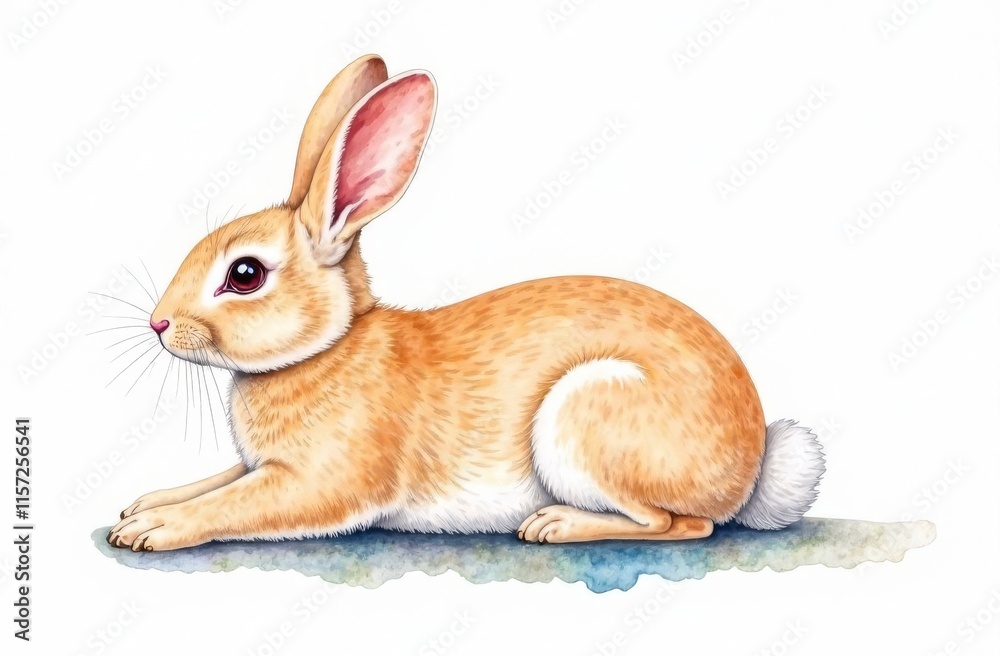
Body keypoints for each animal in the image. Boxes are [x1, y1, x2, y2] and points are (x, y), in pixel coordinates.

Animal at [108, 54, 825, 552]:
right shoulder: (260, 466)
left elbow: (234, 503)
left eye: (245, 274)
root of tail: (753, 466)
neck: (330, 344)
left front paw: (151, 530)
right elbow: (219, 481)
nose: (158, 323)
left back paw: (555, 525)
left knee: (681, 524)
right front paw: (145, 505)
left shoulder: (322, 481)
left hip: (587, 414)